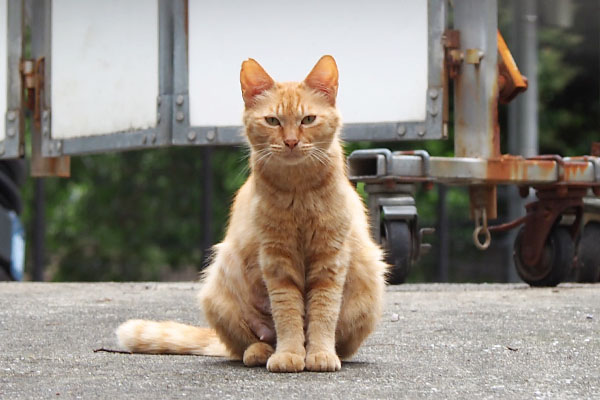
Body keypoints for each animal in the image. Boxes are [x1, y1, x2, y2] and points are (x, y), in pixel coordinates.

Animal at [116, 55, 386, 372]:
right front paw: (289, 354)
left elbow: (322, 312)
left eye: (308, 120)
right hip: (220, 284)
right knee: (249, 342)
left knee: (342, 344)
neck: (298, 191)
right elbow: (288, 314)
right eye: (273, 121)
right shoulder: (276, 260)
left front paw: (319, 353)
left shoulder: (329, 259)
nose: (291, 142)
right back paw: (261, 352)